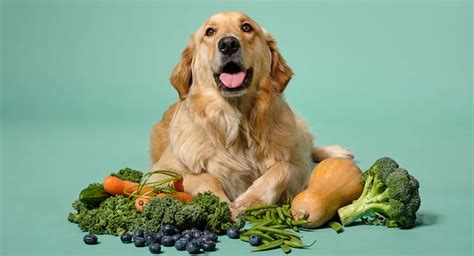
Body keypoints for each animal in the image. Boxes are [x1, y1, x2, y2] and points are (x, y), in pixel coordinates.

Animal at [148, 11, 352, 213]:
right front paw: (224, 205)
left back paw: (338, 152)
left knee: (306, 146)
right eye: (210, 32)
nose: (228, 44)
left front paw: (252, 199)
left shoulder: (300, 169)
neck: (238, 126)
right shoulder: (158, 174)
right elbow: (204, 178)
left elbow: (283, 167)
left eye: (246, 27)